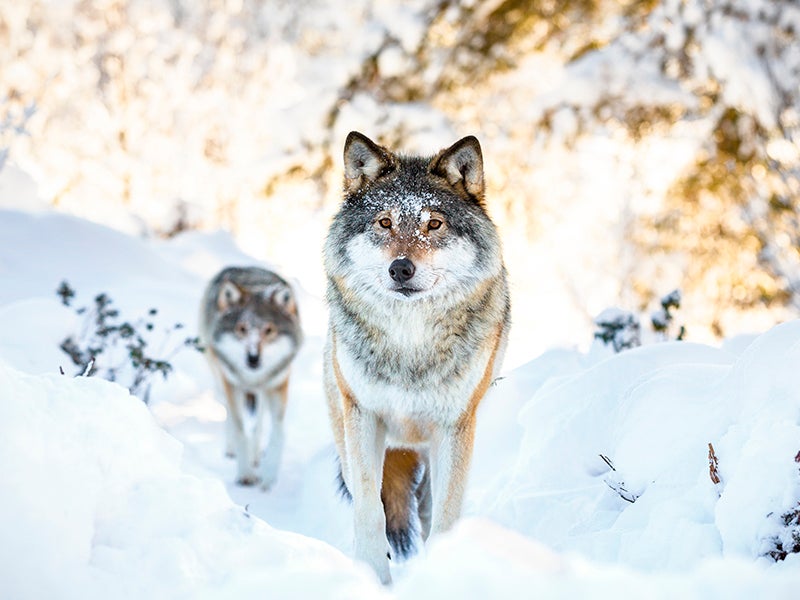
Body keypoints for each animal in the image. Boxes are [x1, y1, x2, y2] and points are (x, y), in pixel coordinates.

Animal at [198, 266, 302, 488]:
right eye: (242, 329)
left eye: (269, 330)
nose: (253, 358)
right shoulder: (232, 384)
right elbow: (239, 430)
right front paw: (245, 473)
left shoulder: (278, 384)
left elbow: (278, 432)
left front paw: (269, 474)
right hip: (221, 380)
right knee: (229, 414)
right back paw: (232, 450)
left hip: (262, 391)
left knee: (259, 422)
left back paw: (256, 455)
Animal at [322, 130, 510, 580]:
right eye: (385, 222)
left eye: (434, 223)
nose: (401, 268)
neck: (410, 342)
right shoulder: (364, 417)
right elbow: (370, 512)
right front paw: (373, 576)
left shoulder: (455, 427)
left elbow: (445, 516)